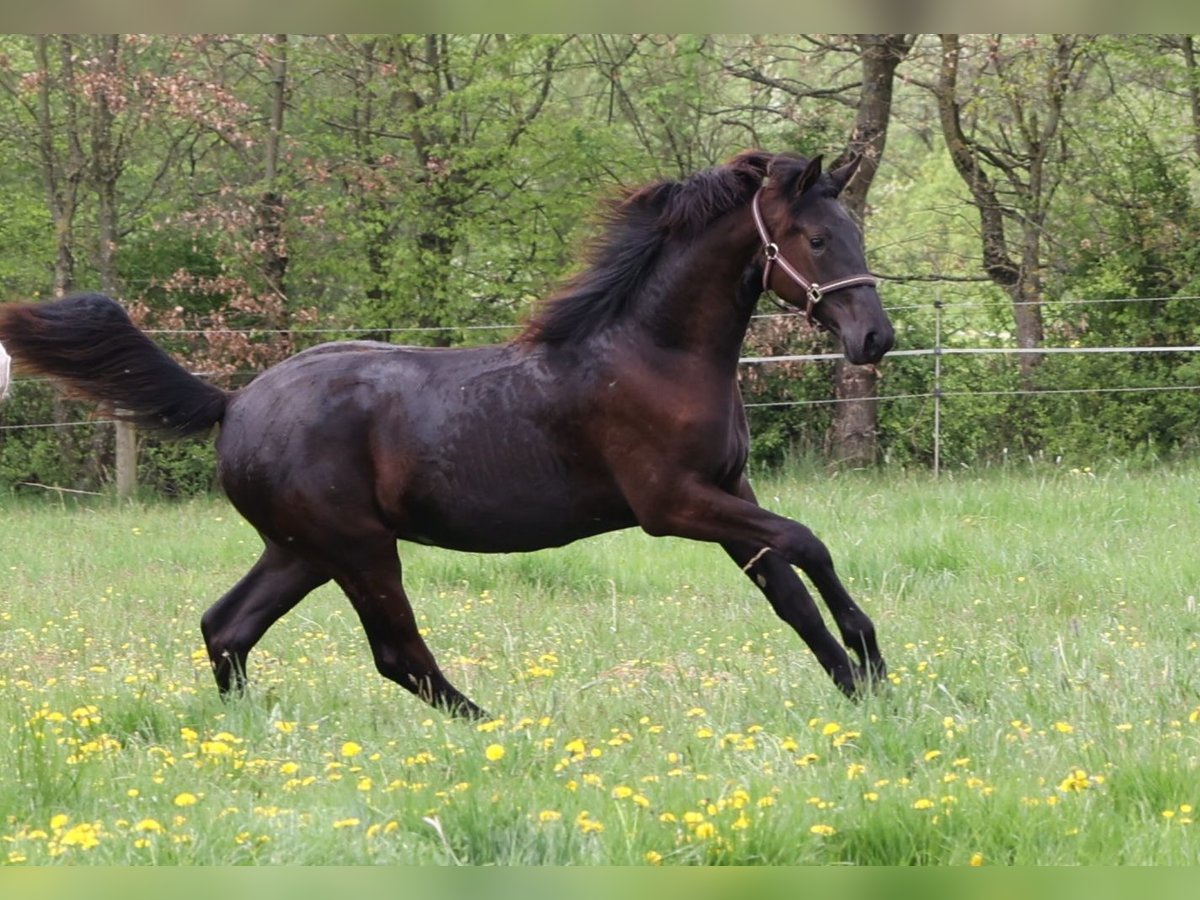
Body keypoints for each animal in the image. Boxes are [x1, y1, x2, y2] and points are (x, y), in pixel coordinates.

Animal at [0, 153, 892, 720]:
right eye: (817, 239)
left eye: (854, 234)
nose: (874, 338)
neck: (654, 354)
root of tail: (234, 403)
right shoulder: (673, 505)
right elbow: (807, 543)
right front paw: (876, 669)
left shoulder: (728, 491)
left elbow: (788, 595)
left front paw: (862, 688)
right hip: (357, 548)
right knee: (397, 653)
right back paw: (499, 731)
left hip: (301, 550)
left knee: (227, 626)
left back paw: (246, 738)